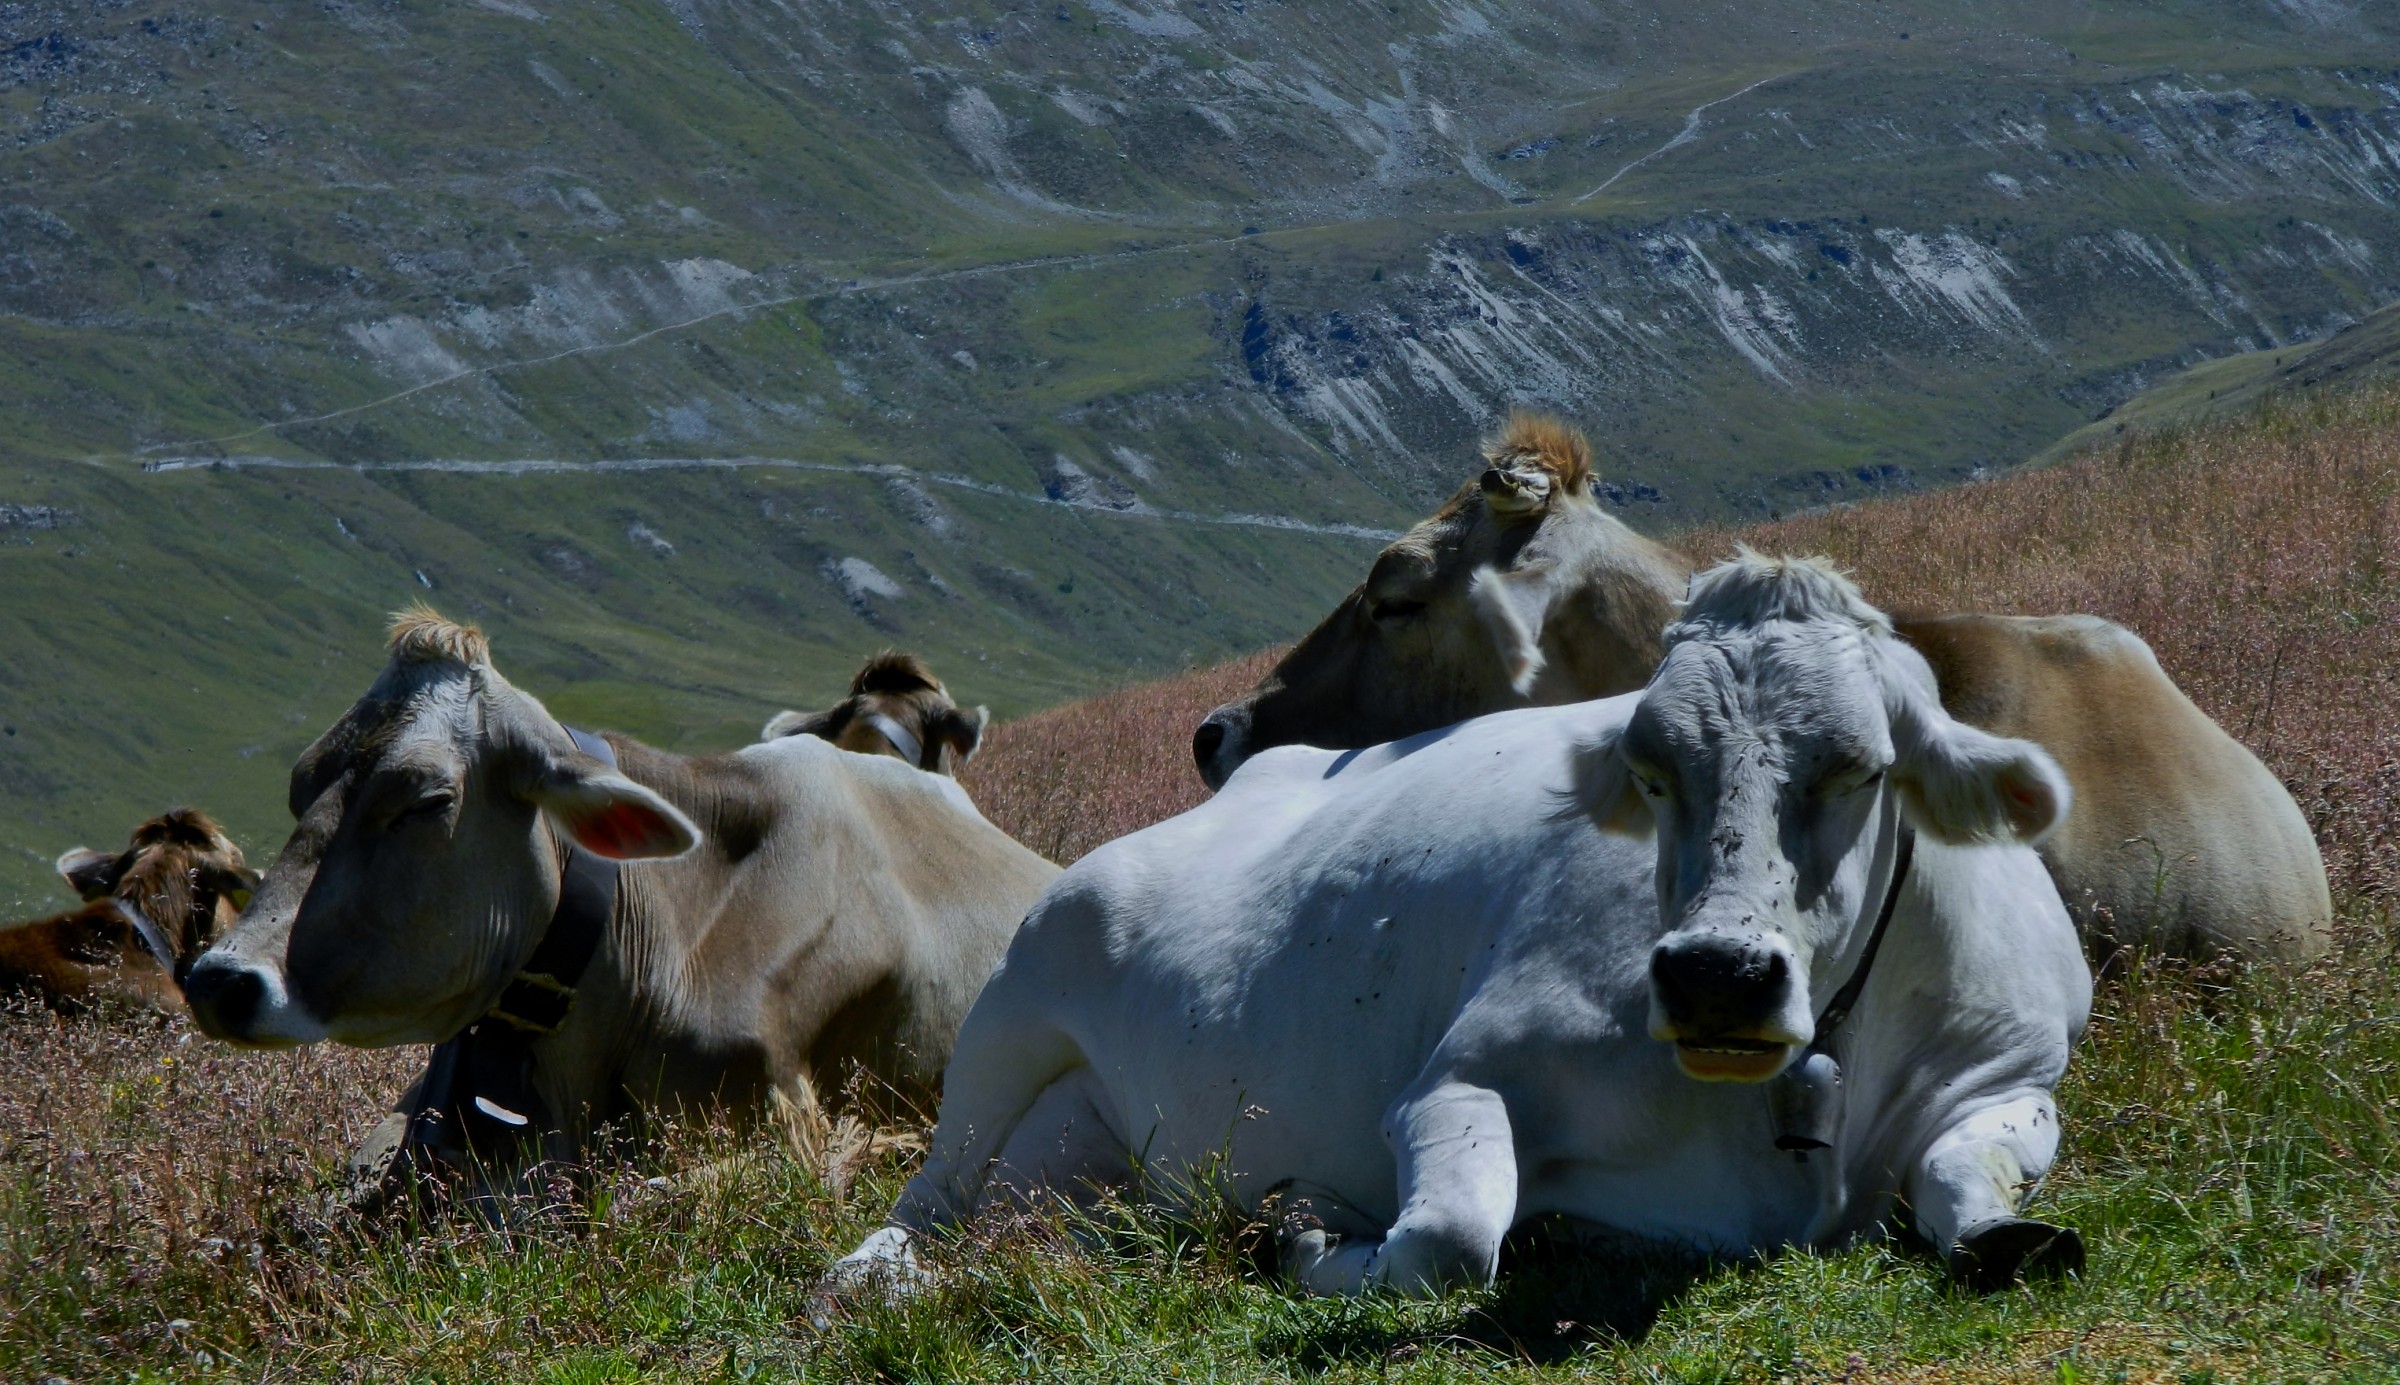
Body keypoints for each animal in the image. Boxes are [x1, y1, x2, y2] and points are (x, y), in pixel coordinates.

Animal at [833, 554, 2092, 1297]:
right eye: (1650, 770)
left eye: (1860, 767)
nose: (1716, 974)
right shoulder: (1462, 1071)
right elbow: (1449, 1235)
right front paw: (1306, 1234)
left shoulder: (2013, 1071)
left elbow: (1971, 1185)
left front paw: (2007, 1230)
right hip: (1010, 1015)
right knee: (924, 1200)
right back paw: (870, 1279)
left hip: (1099, 1161)